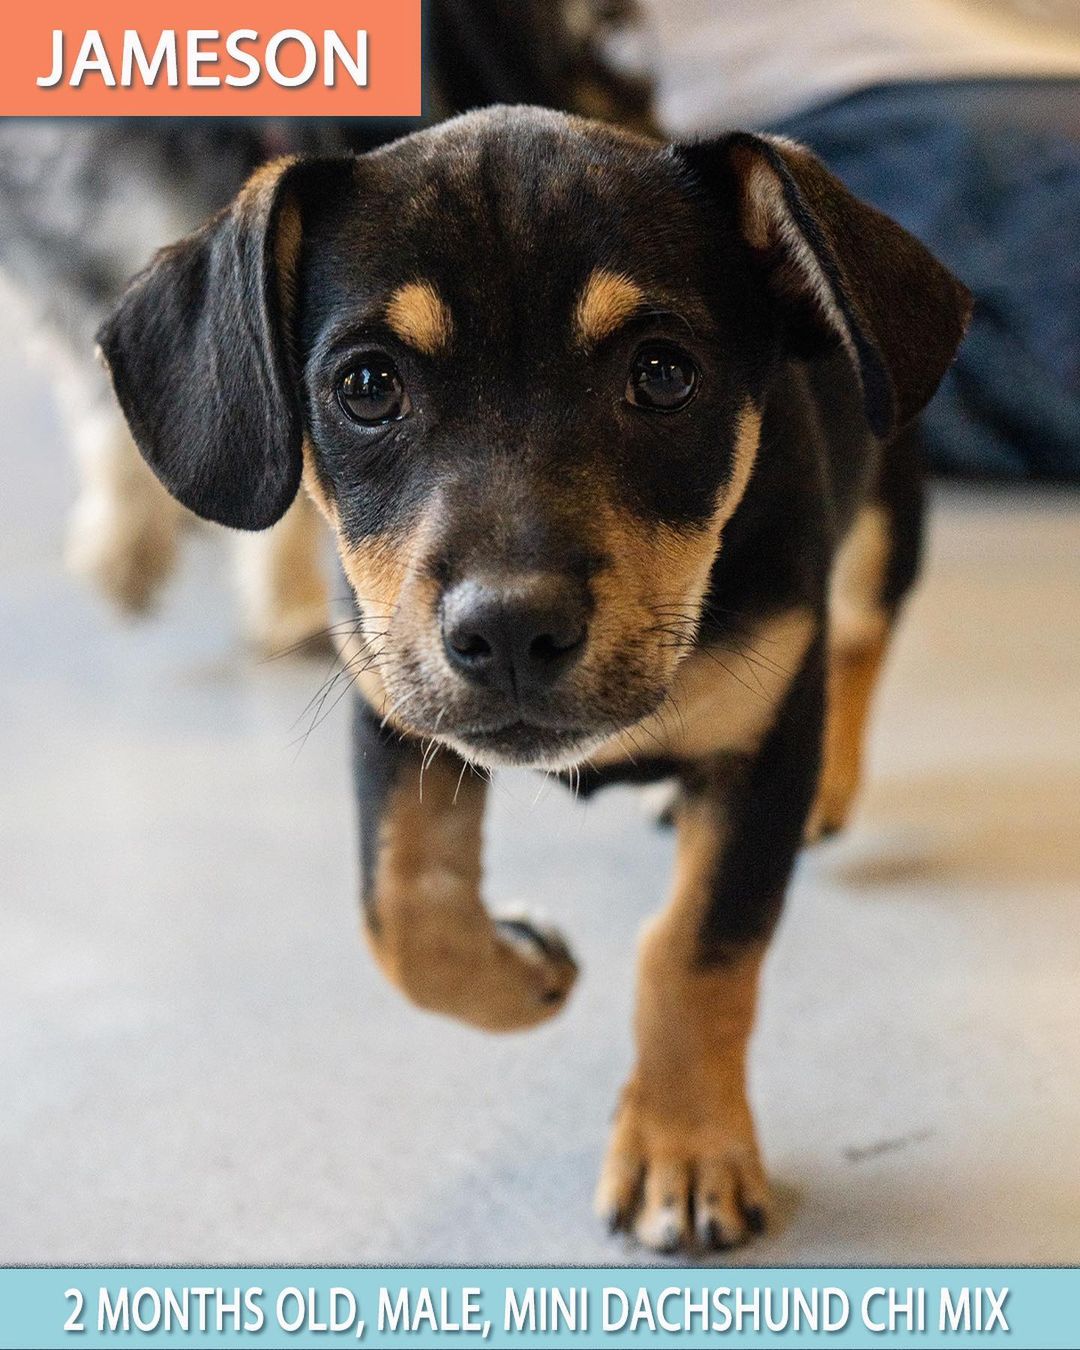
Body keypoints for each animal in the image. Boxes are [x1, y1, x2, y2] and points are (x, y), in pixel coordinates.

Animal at [95, 108, 972, 1252]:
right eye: (366, 385)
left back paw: (832, 784)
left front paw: (685, 1149)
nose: (509, 631)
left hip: (883, 520)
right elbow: (402, 912)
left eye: (663, 373)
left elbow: (695, 952)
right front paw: (522, 973)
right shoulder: (393, 711)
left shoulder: (764, 744)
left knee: (864, 639)